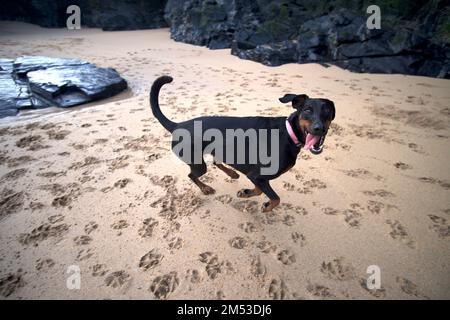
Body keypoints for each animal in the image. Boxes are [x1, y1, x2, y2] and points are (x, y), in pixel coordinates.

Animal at [150, 75, 334, 212]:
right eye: (307, 110)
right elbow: (275, 198)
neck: (289, 133)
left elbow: (261, 191)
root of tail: (177, 125)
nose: (319, 128)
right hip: (197, 162)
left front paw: (246, 193)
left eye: (328, 111)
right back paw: (206, 188)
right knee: (192, 175)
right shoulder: (257, 175)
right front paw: (266, 206)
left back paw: (232, 173)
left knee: (216, 162)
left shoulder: (257, 176)